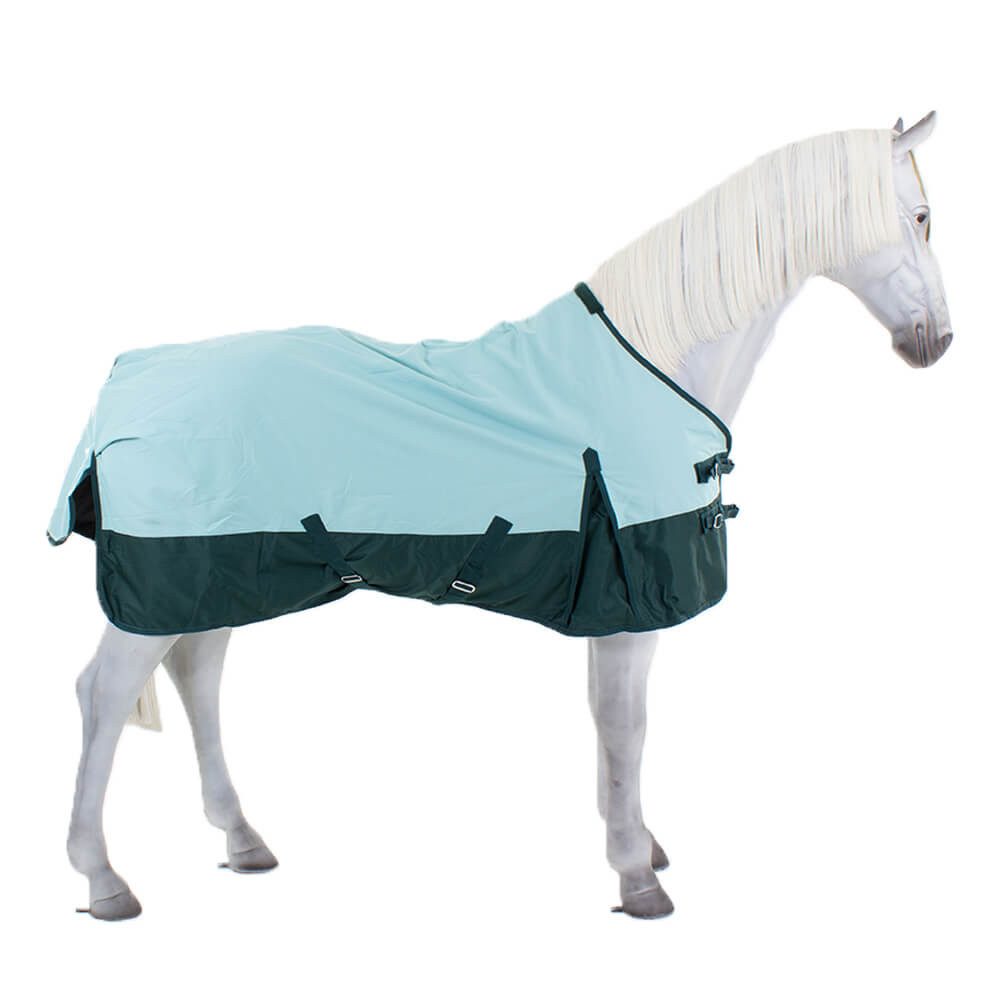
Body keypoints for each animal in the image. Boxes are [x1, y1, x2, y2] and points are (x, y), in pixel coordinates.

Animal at [55, 113, 953, 920]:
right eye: (919, 216)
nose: (937, 343)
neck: (654, 368)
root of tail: (126, 378)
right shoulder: (625, 606)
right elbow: (624, 725)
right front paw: (636, 877)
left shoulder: (620, 608)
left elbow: (614, 723)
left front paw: (638, 841)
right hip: (169, 581)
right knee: (104, 694)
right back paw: (103, 879)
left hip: (217, 570)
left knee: (197, 673)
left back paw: (241, 839)